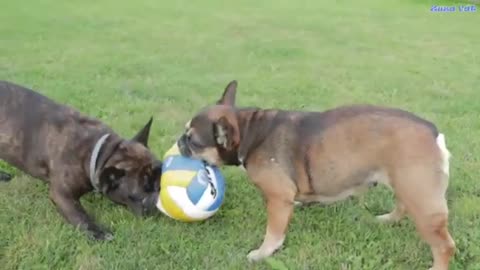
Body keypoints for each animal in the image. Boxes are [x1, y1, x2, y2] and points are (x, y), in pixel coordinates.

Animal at [0, 80, 162, 240]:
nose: (159, 190)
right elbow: (79, 215)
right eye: (142, 197)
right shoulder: (63, 195)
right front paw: (98, 233)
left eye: (161, 170)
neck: (100, 152)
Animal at [178, 80, 456, 270]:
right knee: (402, 205)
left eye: (194, 142)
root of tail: (433, 133)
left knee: (444, 245)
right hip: (406, 185)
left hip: (422, 201)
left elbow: (274, 232)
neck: (249, 131)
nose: (179, 141)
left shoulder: (278, 200)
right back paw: (387, 219)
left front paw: (263, 253)